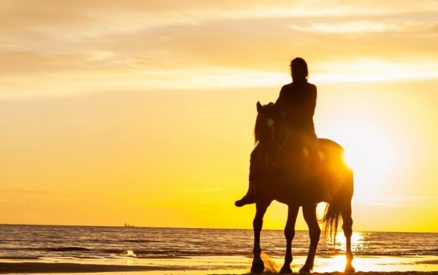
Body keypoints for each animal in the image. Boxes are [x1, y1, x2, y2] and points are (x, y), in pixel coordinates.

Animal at [248, 102, 354, 274]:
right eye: (261, 128)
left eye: (279, 128)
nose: (272, 161)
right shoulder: (263, 198)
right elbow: (257, 223)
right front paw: (257, 263)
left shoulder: (294, 202)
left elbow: (289, 231)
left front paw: (286, 266)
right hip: (309, 204)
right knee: (315, 232)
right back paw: (306, 266)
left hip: (344, 200)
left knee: (347, 228)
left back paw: (349, 265)